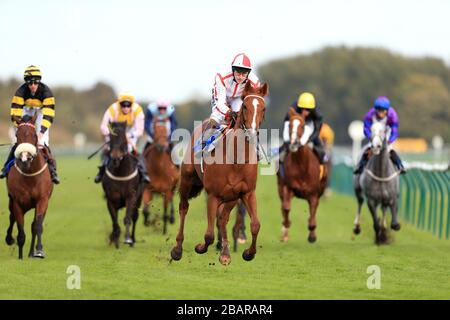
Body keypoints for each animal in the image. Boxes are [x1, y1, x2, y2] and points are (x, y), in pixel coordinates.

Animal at [5, 116, 53, 258]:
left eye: (34, 135)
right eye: (17, 135)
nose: (25, 158)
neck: (30, 174)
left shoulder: (43, 200)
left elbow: (37, 226)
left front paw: (39, 250)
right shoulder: (17, 202)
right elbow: (20, 230)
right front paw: (20, 256)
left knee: (34, 225)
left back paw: (32, 252)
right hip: (13, 201)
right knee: (12, 217)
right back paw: (9, 239)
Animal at [101, 121, 142, 249]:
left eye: (124, 139)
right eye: (111, 138)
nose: (115, 158)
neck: (121, 172)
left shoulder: (131, 197)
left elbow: (127, 218)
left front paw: (128, 239)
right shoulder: (111, 200)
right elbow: (115, 221)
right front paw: (114, 239)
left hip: (138, 199)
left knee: (135, 217)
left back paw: (132, 240)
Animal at [169, 82, 268, 264]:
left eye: (263, 108)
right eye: (245, 106)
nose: (252, 133)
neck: (236, 159)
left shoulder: (246, 192)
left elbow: (255, 225)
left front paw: (248, 253)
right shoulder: (213, 195)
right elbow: (208, 235)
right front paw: (200, 248)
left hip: (231, 197)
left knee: (223, 219)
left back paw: (225, 253)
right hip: (187, 181)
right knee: (184, 208)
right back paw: (177, 249)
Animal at [278, 107, 326, 242]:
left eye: (303, 126)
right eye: (290, 125)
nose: (294, 143)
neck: (302, 167)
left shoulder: (314, 194)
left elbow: (312, 217)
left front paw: (312, 235)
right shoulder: (288, 187)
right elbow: (286, 208)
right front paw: (286, 225)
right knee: (283, 206)